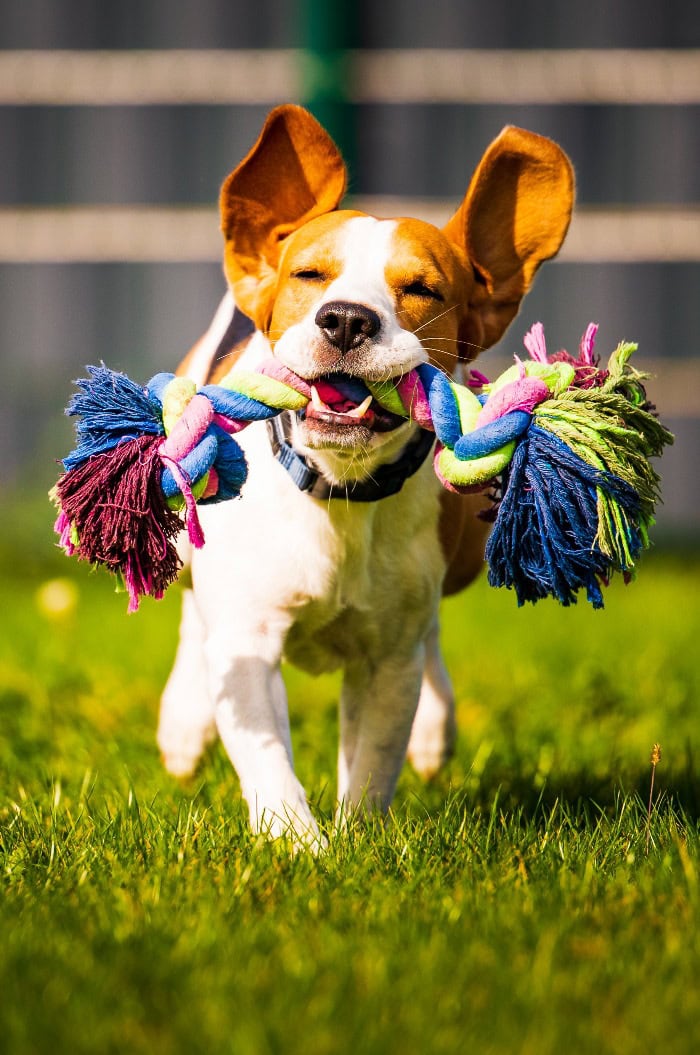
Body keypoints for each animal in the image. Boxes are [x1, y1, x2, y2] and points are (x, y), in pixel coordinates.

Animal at [156, 104, 573, 848]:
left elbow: (375, 759)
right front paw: (297, 844)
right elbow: (266, 754)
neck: (337, 489)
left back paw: (435, 729)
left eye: (422, 289)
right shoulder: (249, 638)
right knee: (191, 613)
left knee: (431, 637)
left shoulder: (387, 658)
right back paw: (184, 722)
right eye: (309, 275)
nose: (347, 318)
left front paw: (356, 841)